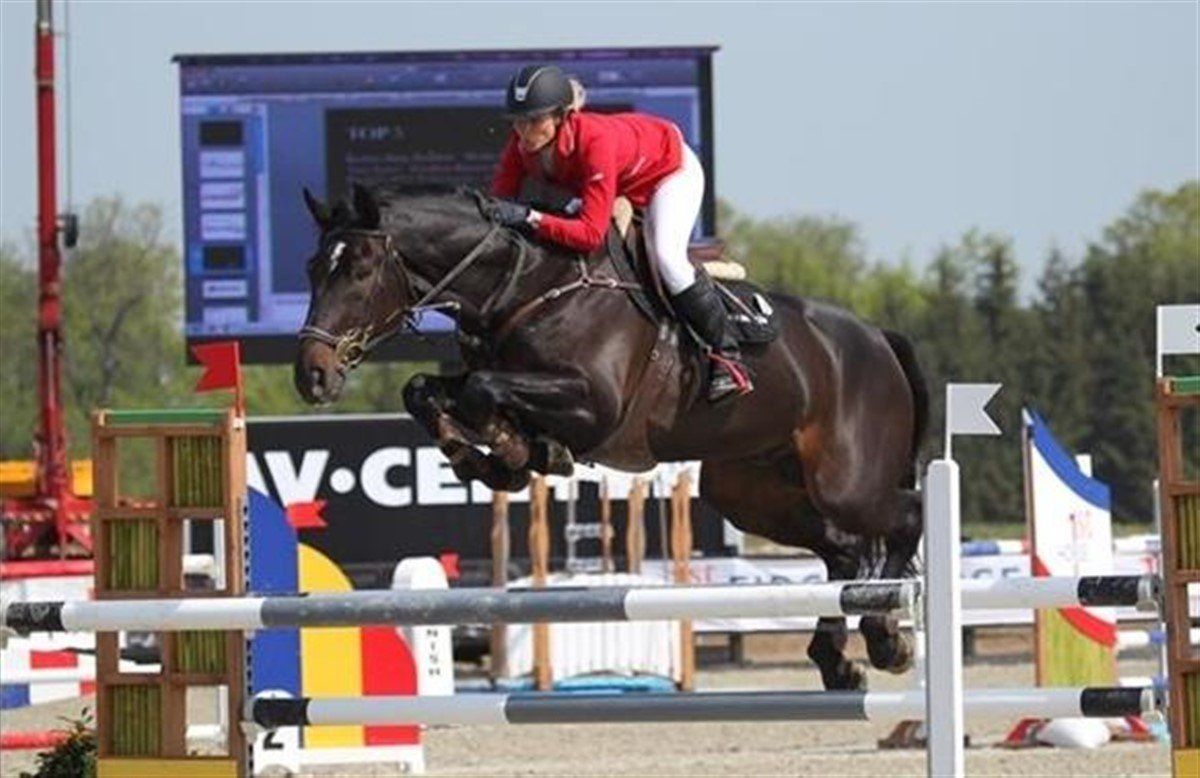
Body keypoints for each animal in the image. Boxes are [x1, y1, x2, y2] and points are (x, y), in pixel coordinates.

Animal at [294, 184, 930, 691]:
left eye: (359, 271)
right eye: (312, 268)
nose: (312, 375)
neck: (525, 286)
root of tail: (877, 336)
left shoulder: (594, 406)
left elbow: (480, 389)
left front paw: (513, 452)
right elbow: (425, 390)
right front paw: (491, 456)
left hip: (845, 481)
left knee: (906, 514)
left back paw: (885, 637)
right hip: (752, 492)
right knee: (842, 549)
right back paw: (837, 662)